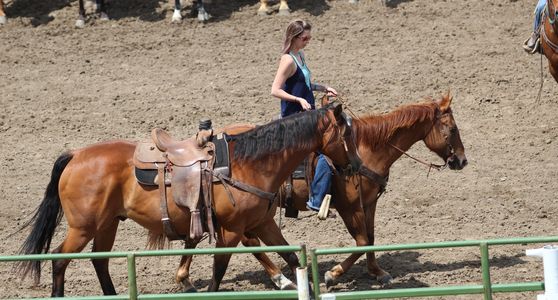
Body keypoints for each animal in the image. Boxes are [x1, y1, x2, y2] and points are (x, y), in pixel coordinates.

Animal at [15, 104, 360, 296]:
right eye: (346, 135)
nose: (355, 165)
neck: (250, 164)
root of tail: (75, 155)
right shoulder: (232, 230)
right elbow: (220, 268)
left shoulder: (261, 222)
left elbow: (291, 257)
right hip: (83, 228)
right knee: (59, 259)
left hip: (107, 224)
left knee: (100, 260)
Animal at [176, 93, 468, 290]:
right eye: (453, 129)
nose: (462, 161)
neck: (366, 149)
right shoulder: (350, 208)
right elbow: (362, 241)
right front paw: (333, 274)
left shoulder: (369, 203)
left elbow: (371, 238)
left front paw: (377, 271)